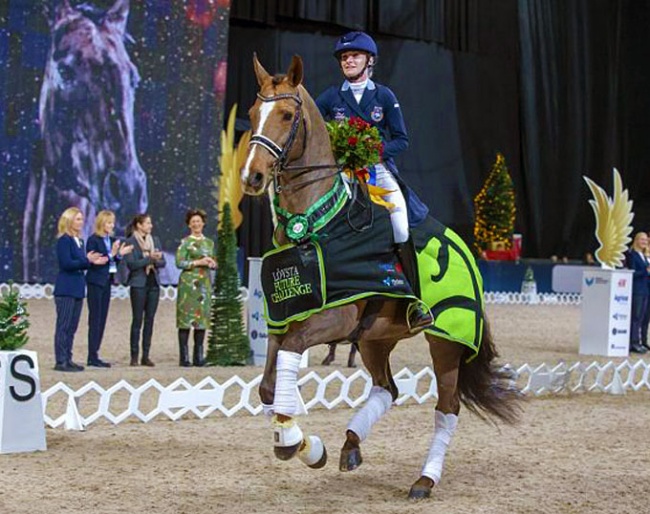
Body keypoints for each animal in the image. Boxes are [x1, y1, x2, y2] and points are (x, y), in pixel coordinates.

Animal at [240, 55, 520, 496]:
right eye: (253, 114)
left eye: (286, 115)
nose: (251, 177)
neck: (317, 222)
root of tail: (468, 251)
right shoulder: (284, 319)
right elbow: (269, 384)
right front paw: (306, 445)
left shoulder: (334, 319)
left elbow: (290, 356)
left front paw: (292, 441)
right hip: (376, 337)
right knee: (387, 388)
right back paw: (351, 444)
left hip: (446, 341)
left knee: (447, 408)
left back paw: (425, 479)